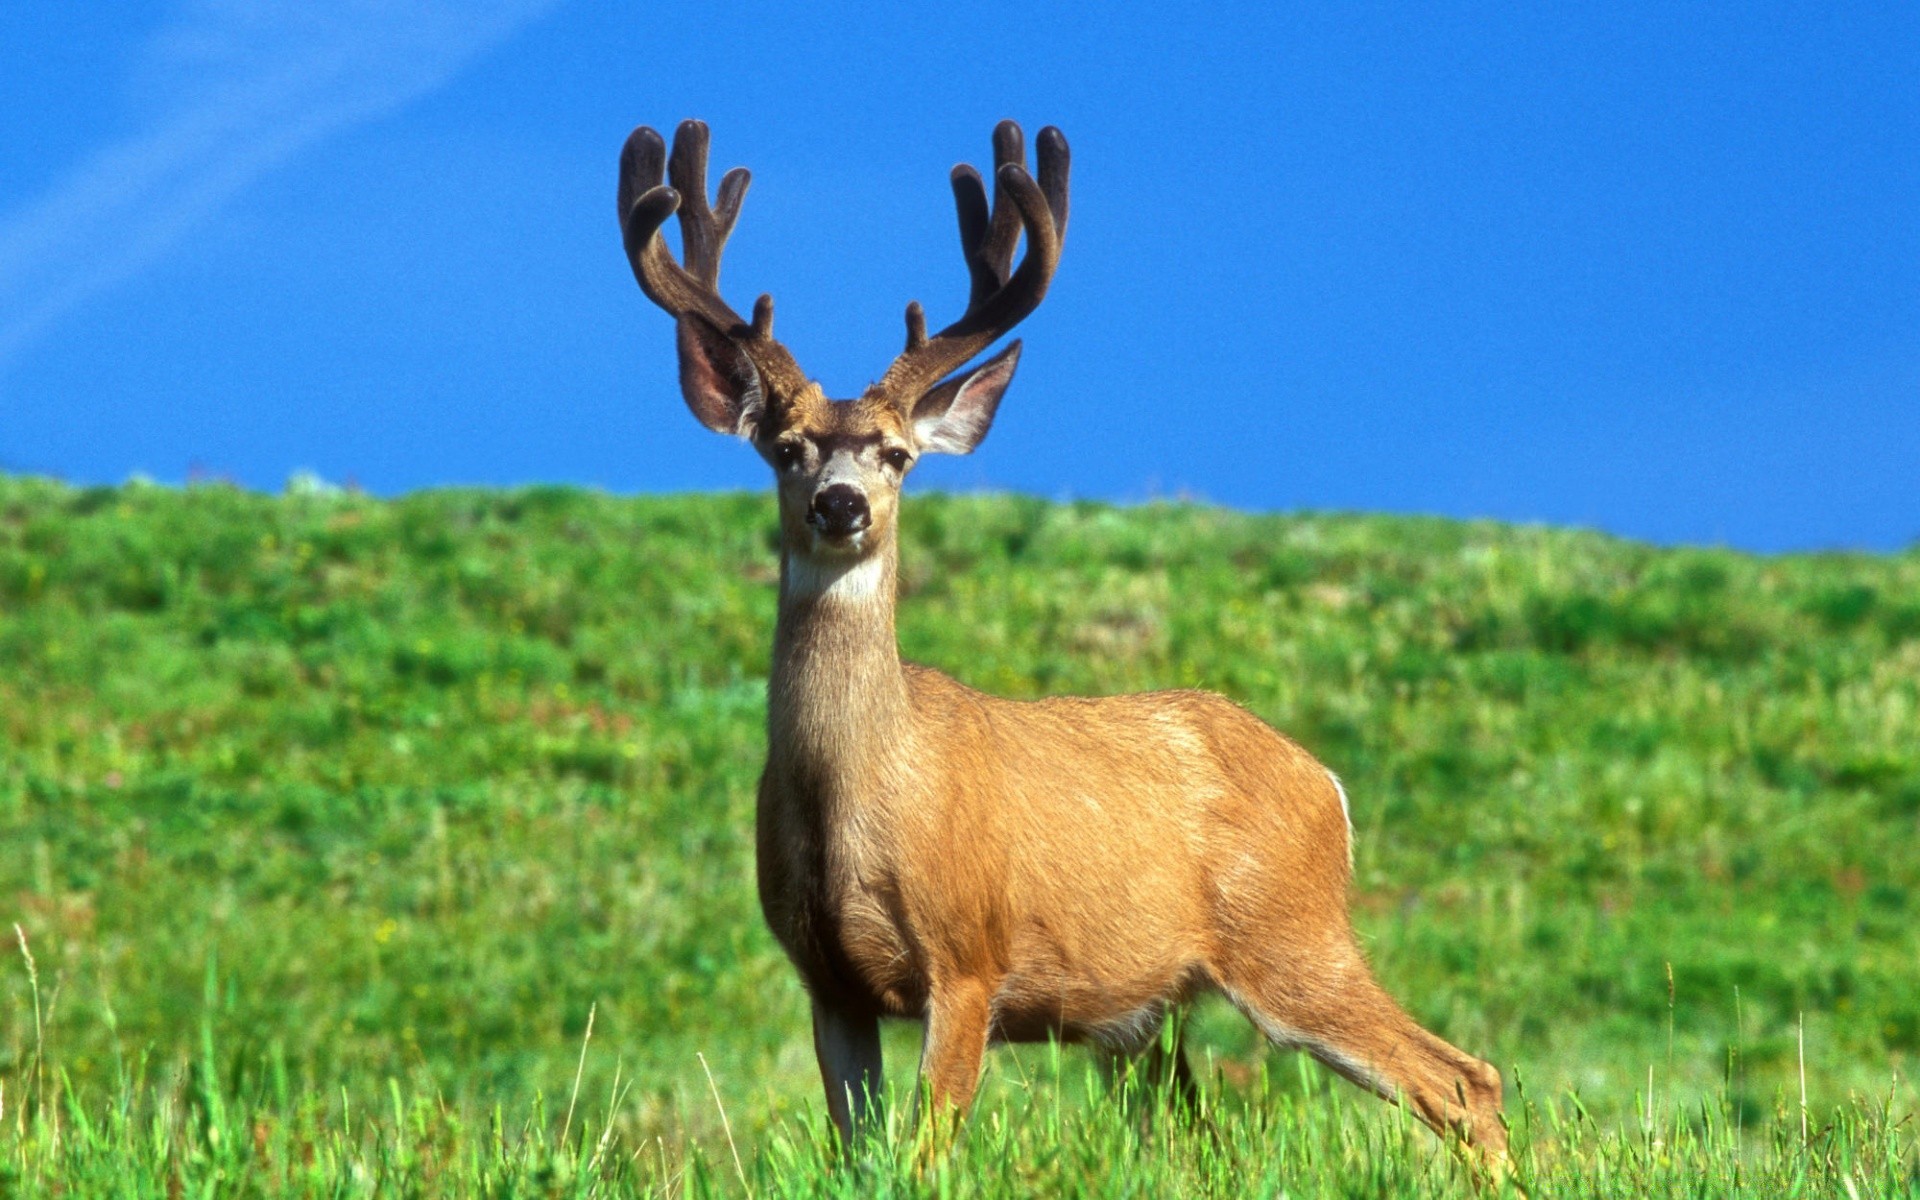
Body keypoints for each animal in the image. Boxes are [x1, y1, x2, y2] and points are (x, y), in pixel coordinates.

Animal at [614, 119, 1512, 1167]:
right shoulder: (826, 977)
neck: (856, 790)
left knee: (1463, 1078)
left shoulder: (968, 956)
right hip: (1147, 1017)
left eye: (897, 455)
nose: (840, 505)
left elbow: (925, 1150)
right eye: (785, 449)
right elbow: (858, 1148)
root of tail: (1325, 783)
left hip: (1290, 936)